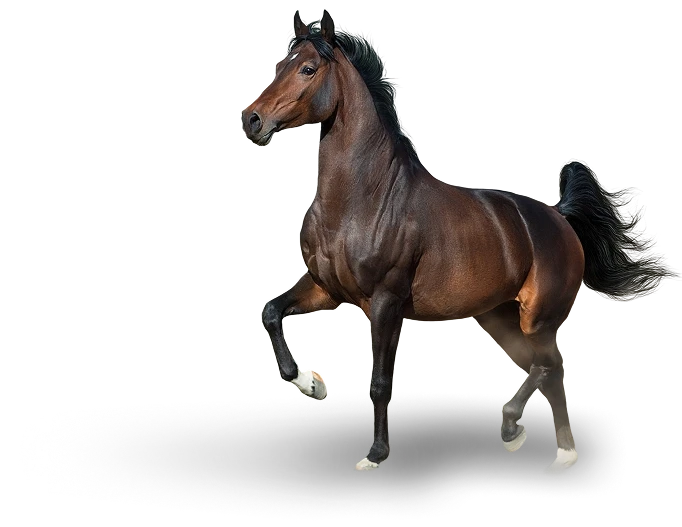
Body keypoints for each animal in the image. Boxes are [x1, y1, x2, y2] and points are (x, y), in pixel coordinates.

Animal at [241, 9, 678, 475]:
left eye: (307, 68)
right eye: (279, 65)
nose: (251, 119)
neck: (362, 198)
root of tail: (559, 217)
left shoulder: (385, 302)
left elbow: (379, 381)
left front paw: (375, 456)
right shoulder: (327, 288)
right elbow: (272, 311)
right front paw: (311, 382)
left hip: (538, 319)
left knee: (549, 364)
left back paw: (513, 429)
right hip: (500, 319)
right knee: (548, 372)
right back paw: (561, 455)